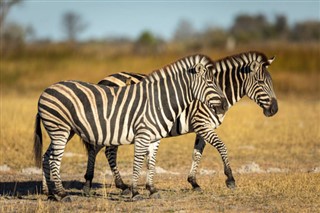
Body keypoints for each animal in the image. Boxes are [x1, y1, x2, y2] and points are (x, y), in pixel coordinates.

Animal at [33, 54, 228, 201]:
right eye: (210, 83)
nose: (225, 105)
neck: (159, 101)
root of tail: (45, 91)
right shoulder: (142, 134)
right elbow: (138, 162)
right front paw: (135, 192)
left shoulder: (154, 138)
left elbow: (151, 163)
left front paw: (152, 190)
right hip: (59, 129)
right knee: (54, 160)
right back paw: (62, 194)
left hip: (64, 131)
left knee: (46, 156)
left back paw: (50, 194)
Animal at [80, 50, 278, 196]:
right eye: (261, 82)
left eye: (271, 82)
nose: (275, 110)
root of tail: (105, 79)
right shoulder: (201, 124)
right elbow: (222, 146)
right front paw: (230, 179)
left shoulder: (202, 128)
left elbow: (197, 154)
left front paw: (194, 182)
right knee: (103, 150)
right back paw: (103, 183)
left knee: (101, 149)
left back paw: (108, 183)